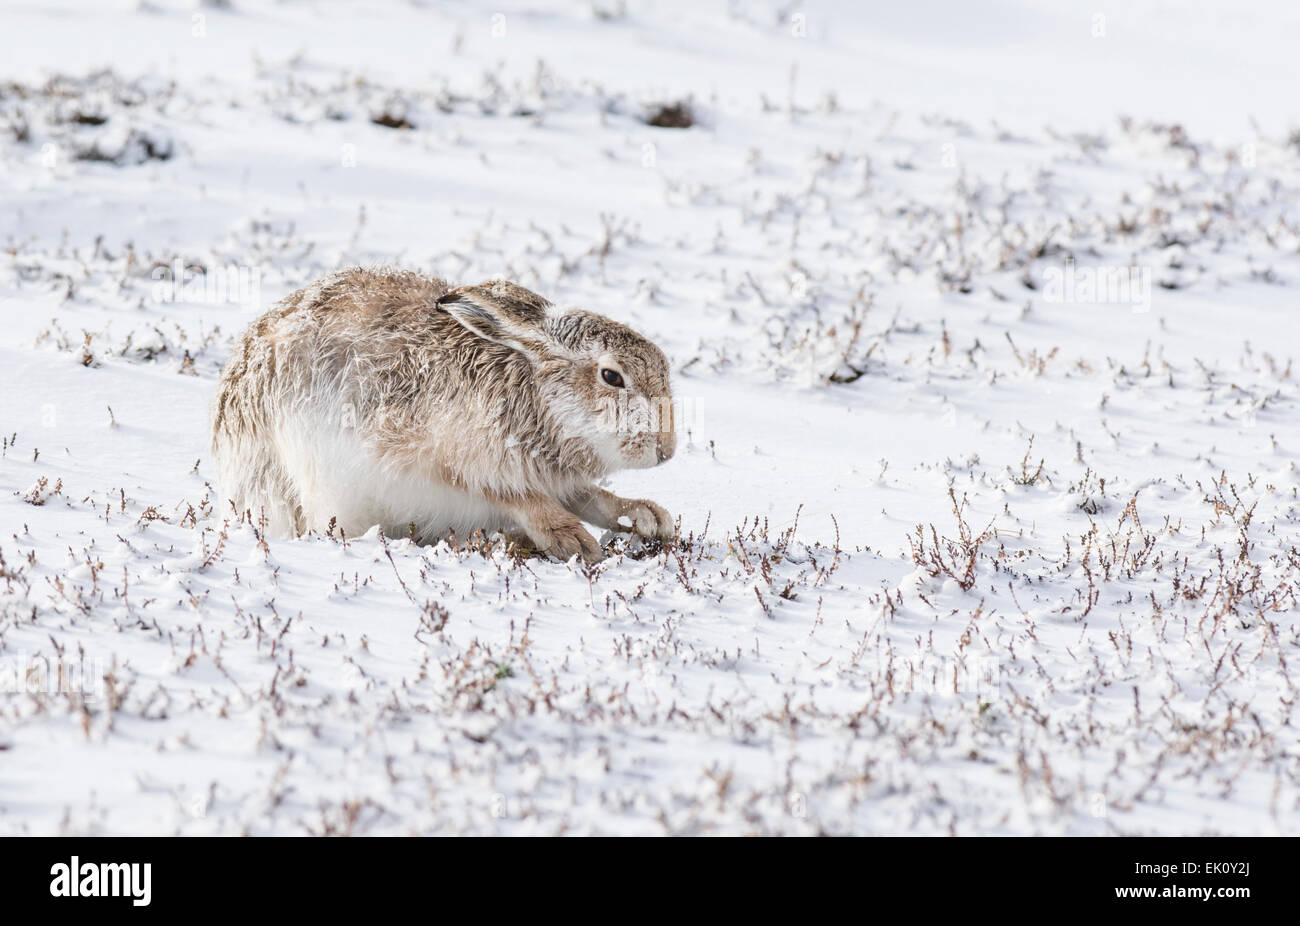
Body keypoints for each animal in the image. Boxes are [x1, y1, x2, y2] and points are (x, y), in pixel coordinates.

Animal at [210, 267, 676, 562]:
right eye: (612, 376)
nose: (667, 450)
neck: (532, 393)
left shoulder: (557, 477)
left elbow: (591, 497)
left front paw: (648, 517)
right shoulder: (433, 456)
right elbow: (512, 494)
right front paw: (571, 540)